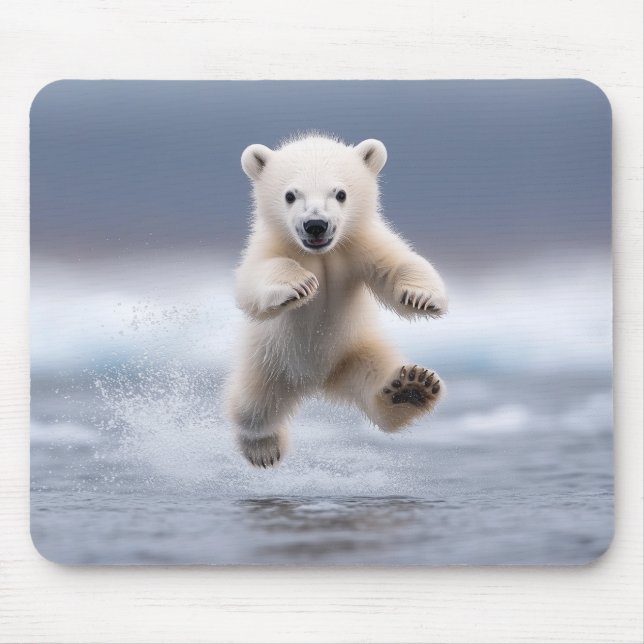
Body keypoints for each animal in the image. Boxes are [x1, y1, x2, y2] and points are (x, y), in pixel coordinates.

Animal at [227, 134, 448, 467]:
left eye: (340, 193)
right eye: (290, 195)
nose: (316, 224)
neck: (322, 254)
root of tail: (317, 382)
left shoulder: (358, 245)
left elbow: (397, 263)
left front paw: (422, 296)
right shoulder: (274, 245)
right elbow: (255, 279)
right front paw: (300, 284)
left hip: (357, 350)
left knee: (377, 379)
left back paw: (412, 388)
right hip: (268, 360)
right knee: (252, 406)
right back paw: (263, 448)